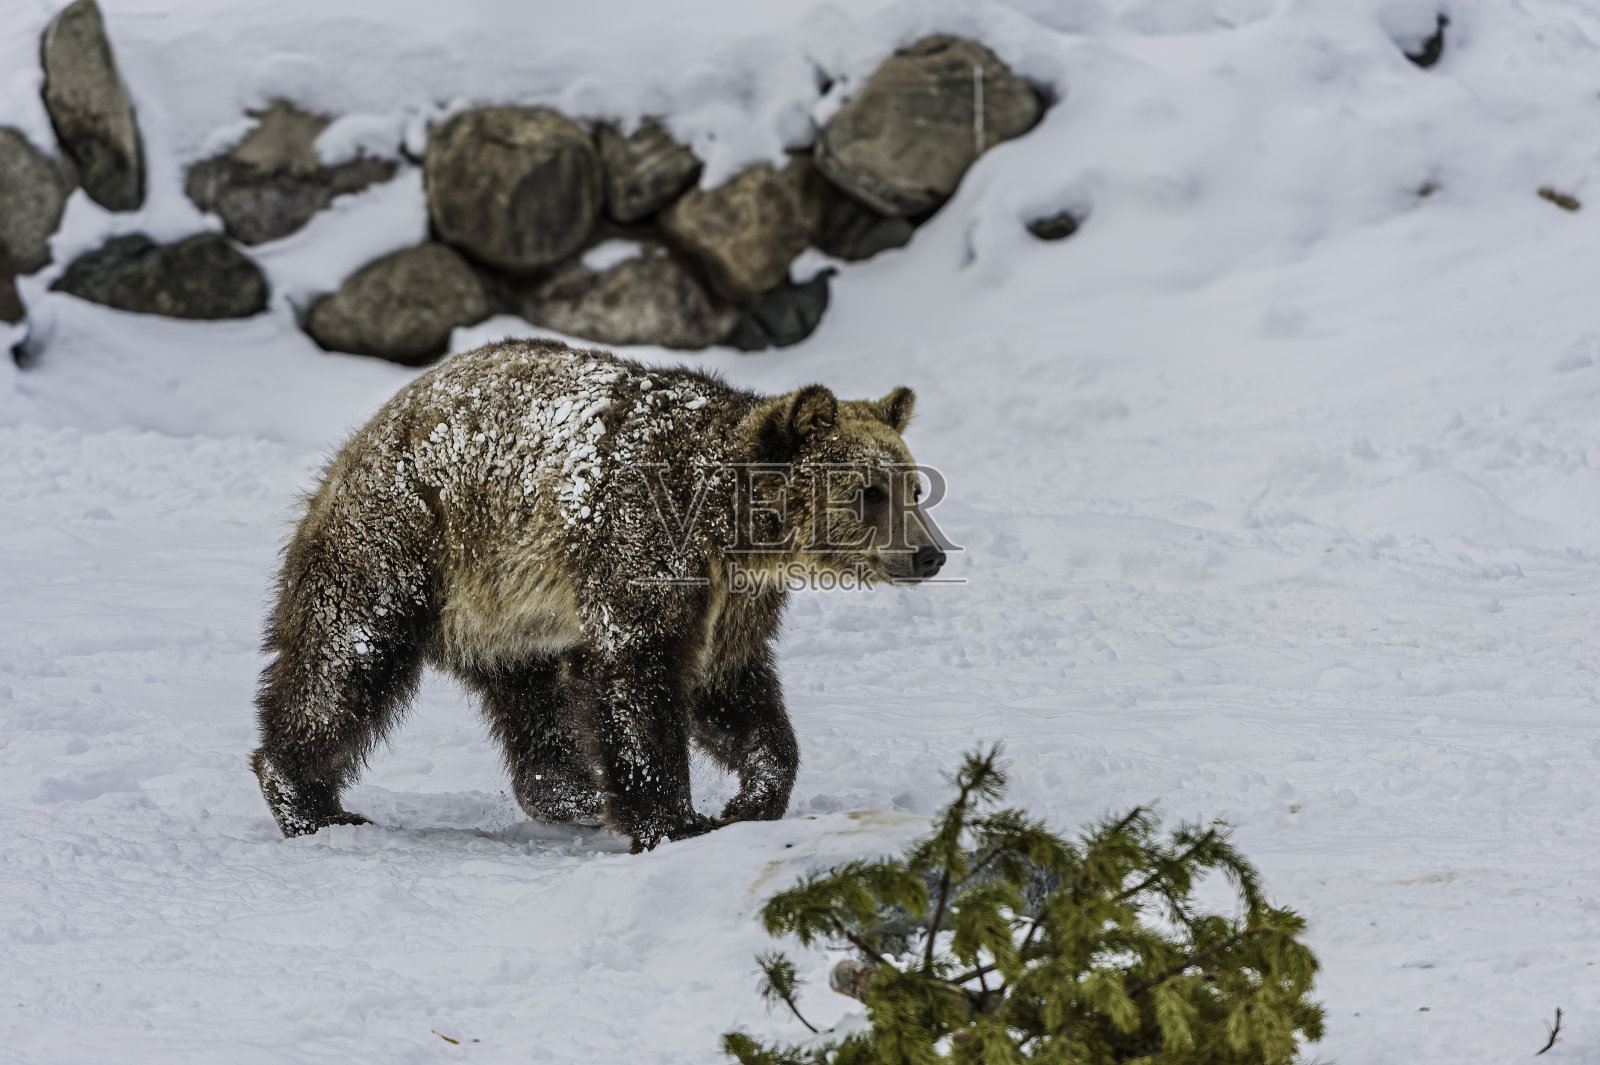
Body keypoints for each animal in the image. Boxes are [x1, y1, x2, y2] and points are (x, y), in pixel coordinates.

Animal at [250, 337, 946, 852]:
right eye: (868, 491)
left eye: (913, 486)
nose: (930, 553)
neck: (732, 528)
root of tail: (365, 434)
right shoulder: (648, 547)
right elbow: (638, 679)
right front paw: (675, 821)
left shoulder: (734, 604)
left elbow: (732, 694)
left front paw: (749, 799)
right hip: (407, 540)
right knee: (346, 658)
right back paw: (312, 804)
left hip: (509, 611)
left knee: (532, 701)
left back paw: (572, 790)